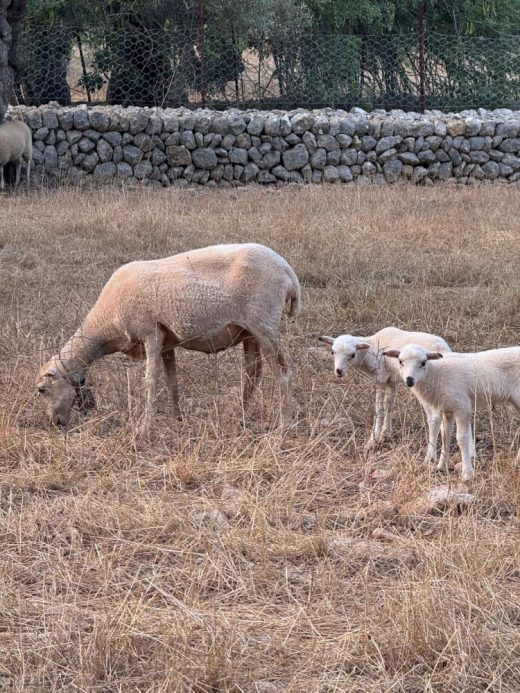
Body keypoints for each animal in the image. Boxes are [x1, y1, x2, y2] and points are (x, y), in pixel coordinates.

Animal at [35, 243, 300, 436]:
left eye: (42, 389)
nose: (55, 424)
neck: (105, 324)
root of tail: (288, 271)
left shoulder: (150, 333)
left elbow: (151, 383)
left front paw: (144, 428)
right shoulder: (166, 342)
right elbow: (172, 382)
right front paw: (177, 418)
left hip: (264, 325)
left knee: (282, 372)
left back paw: (284, 424)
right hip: (249, 332)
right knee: (253, 373)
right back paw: (240, 418)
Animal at [316, 328, 450, 462]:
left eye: (353, 354)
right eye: (332, 352)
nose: (338, 371)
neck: (371, 348)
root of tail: (445, 349)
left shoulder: (380, 378)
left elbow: (379, 408)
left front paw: (373, 439)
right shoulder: (392, 381)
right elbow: (388, 405)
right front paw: (387, 433)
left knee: (434, 418)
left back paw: (431, 456)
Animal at [384, 342, 520, 482]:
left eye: (423, 362)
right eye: (400, 361)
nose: (409, 380)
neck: (435, 374)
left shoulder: (462, 408)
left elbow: (462, 439)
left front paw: (467, 474)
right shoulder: (447, 410)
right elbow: (445, 436)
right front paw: (441, 467)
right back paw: (515, 463)